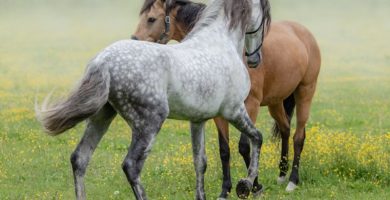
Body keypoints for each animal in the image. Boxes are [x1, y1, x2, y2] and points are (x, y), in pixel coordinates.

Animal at [35, 0, 268, 198]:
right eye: (265, 15)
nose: (255, 59)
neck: (219, 42)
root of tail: (103, 62)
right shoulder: (233, 110)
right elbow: (256, 138)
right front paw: (247, 185)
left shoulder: (198, 120)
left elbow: (200, 162)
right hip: (149, 123)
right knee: (131, 166)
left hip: (102, 116)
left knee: (80, 158)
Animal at [133, 0, 322, 198]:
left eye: (151, 19)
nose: (134, 41)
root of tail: (302, 32)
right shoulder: (219, 113)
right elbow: (224, 150)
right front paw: (225, 190)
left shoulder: (250, 105)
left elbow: (245, 146)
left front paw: (254, 187)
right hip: (275, 102)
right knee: (285, 129)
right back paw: (282, 174)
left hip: (305, 92)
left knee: (298, 137)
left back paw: (292, 180)